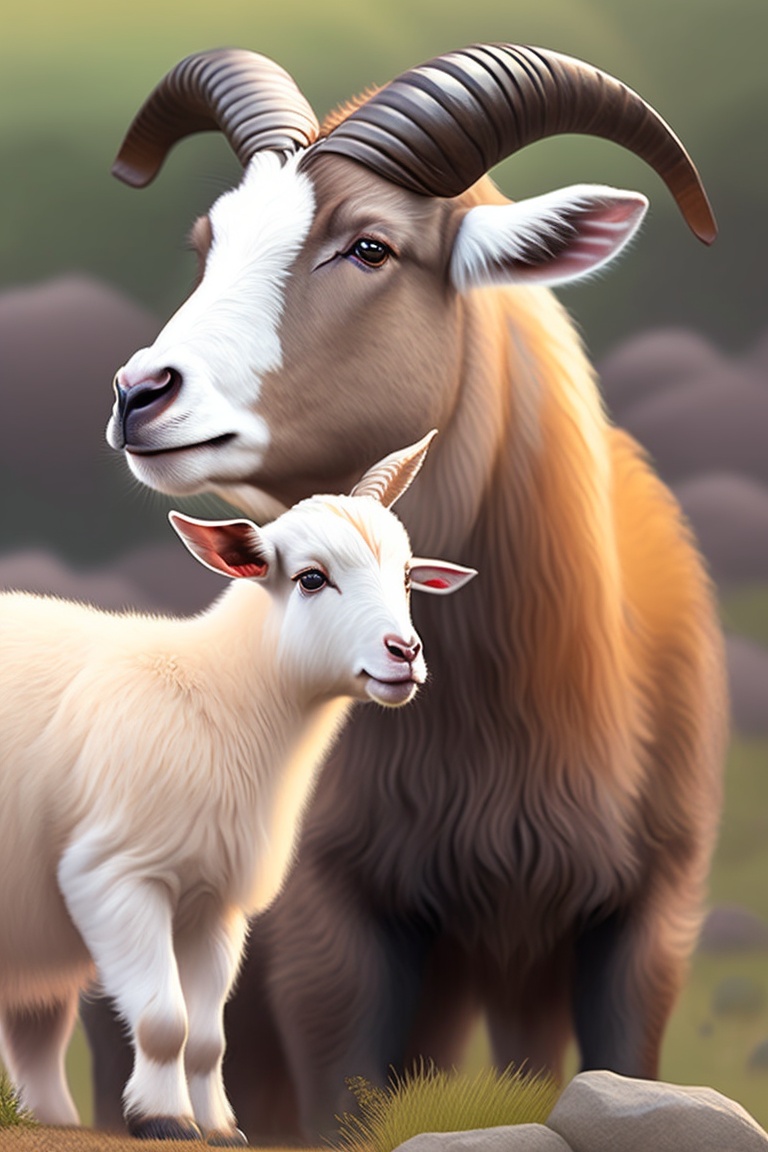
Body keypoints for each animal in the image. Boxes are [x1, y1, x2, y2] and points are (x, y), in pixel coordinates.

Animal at [0, 435, 474, 1144]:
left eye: (409, 578)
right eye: (311, 578)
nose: (404, 652)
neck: (216, 696)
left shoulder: (216, 903)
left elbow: (206, 1038)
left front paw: (220, 1126)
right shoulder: (113, 878)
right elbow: (163, 1020)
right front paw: (162, 1118)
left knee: (36, 1032)